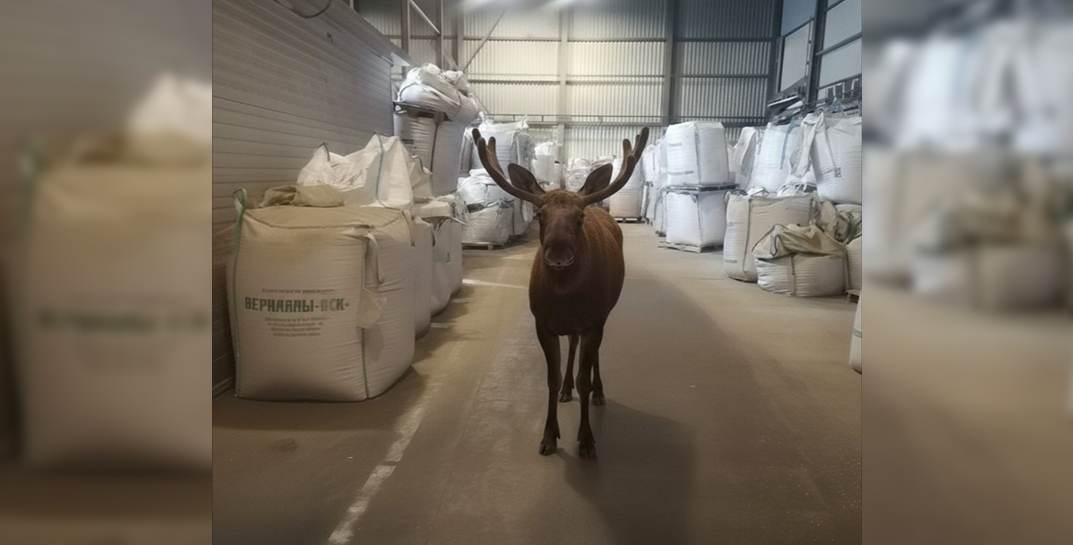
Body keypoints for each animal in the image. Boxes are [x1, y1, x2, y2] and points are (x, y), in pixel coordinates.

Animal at [471, 127, 649, 459]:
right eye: (540, 214)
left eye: (579, 217)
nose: (558, 255)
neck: (565, 297)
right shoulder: (542, 323)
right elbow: (551, 380)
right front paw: (549, 436)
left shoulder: (593, 320)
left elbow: (584, 376)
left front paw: (587, 439)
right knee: (574, 345)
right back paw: (569, 390)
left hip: (604, 313)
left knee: (592, 356)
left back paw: (598, 392)